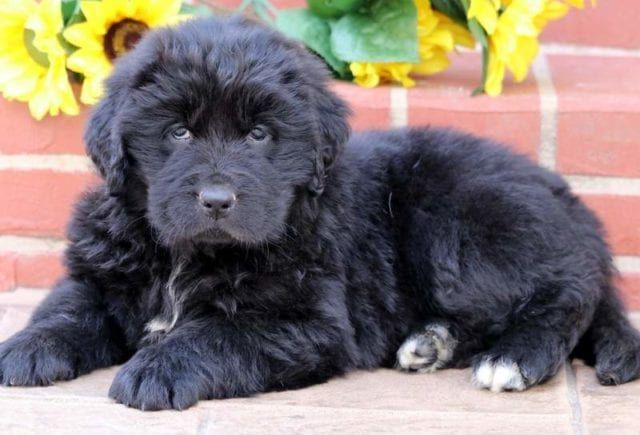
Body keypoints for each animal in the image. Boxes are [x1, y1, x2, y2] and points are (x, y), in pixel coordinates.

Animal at [1, 17, 640, 412]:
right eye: (178, 131)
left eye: (259, 134)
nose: (216, 200)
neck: (189, 255)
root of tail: (570, 204)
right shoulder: (103, 269)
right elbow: (67, 306)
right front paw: (24, 348)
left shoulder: (309, 321)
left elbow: (220, 332)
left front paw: (157, 368)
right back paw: (430, 344)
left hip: (458, 232)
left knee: (567, 297)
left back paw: (513, 357)